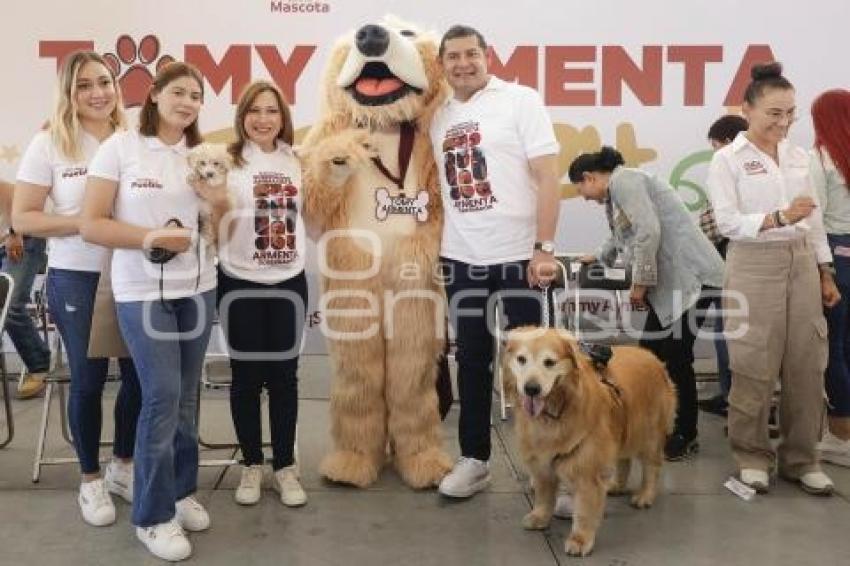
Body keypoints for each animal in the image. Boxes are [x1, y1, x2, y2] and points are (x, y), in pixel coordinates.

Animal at [500, 328, 672, 560]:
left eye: (549, 362)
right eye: (521, 359)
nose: (531, 389)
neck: (557, 408)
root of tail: (652, 357)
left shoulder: (587, 469)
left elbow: (583, 511)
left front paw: (580, 539)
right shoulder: (542, 463)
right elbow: (544, 495)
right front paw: (540, 516)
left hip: (648, 435)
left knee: (651, 467)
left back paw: (645, 495)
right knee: (624, 460)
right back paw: (617, 485)